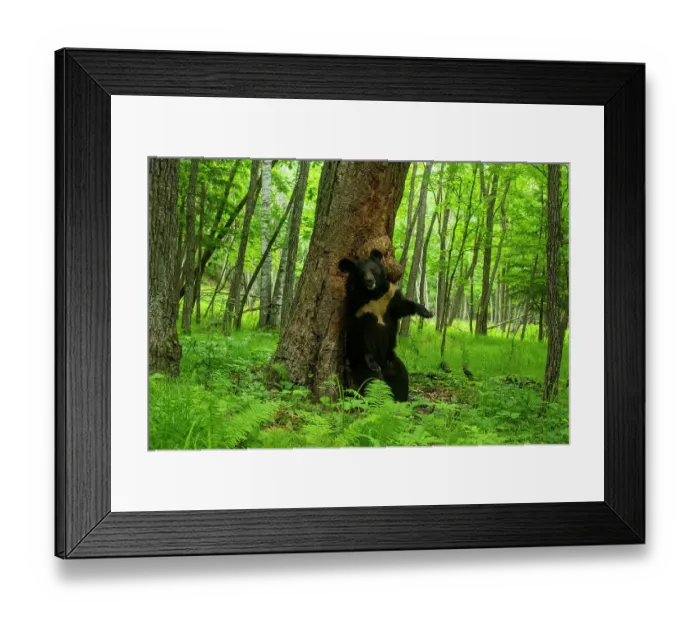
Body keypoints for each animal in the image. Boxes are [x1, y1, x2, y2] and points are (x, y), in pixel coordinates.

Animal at [338, 248, 433, 402]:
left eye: (373, 270)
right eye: (361, 273)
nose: (369, 281)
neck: (373, 295)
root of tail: (384, 365)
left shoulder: (389, 296)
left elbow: (403, 306)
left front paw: (426, 312)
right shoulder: (357, 308)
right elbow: (359, 334)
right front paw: (370, 361)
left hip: (392, 361)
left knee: (402, 377)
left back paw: (401, 399)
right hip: (359, 364)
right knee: (373, 381)